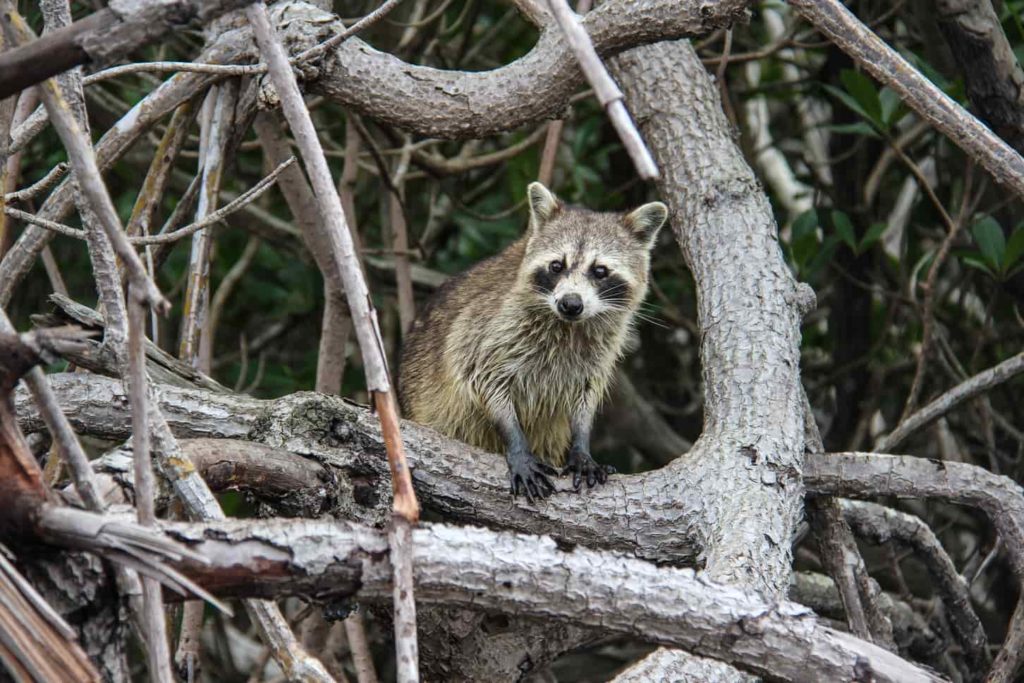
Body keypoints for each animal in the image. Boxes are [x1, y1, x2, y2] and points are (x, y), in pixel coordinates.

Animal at [399, 181, 671, 501]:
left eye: (600, 271)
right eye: (556, 266)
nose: (570, 304)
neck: (568, 326)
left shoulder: (598, 352)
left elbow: (585, 394)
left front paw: (581, 443)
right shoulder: (489, 327)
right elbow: (484, 379)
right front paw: (516, 442)